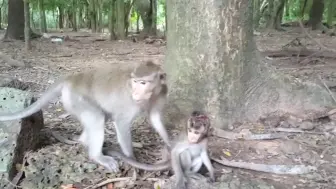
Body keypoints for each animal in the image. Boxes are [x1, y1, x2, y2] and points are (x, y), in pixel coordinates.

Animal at [0, 60, 171, 173]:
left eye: (143, 83)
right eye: (135, 81)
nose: (135, 93)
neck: (151, 95)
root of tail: (71, 78)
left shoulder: (162, 93)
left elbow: (155, 118)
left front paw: (169, 142)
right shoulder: (130, 103)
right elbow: (121, 123)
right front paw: (132, 160)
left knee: (100, 116)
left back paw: (84, 141)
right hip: (76, 98)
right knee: (97, 118)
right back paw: (97, 156)